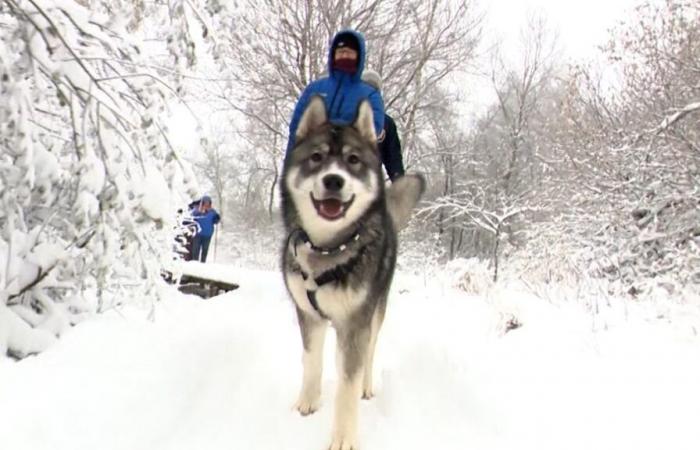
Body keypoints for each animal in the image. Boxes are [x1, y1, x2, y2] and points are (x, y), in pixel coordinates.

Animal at [282, 96, 424, 448]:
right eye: (316, 157)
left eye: (353, 160)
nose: (334, 180)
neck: (327, 250)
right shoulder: (308, 314)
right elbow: (311, 360)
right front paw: (307, 403)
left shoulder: (356, 320)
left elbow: (348, 382)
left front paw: (343, 437)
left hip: (374, 310)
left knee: (368, 352)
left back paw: (366, 384)